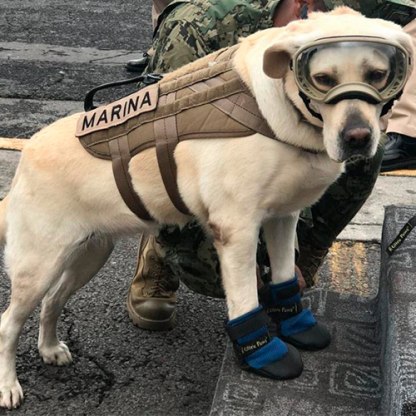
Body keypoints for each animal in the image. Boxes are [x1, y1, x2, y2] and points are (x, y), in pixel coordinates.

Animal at [0, 7, 413, 409]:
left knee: (52, 301)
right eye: (323, 79)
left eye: (377, 75)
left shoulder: (283, 219)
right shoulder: (236, 231)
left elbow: (284, 279)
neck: (276, 106)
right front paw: (265, 355)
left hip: (89, 254)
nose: (358, 137)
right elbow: (246, 300)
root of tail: (26, 159)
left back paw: (49, 349)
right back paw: (8, 387)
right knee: (8, 324)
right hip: (39, 265)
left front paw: (298, 326)